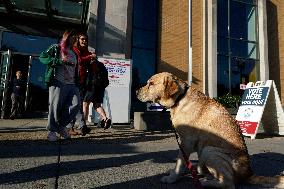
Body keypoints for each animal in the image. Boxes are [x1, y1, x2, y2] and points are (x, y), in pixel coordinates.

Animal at [136, 71, 282, 188]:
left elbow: (179, 162)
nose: (136, 92)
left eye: (151, 84)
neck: (180, 98)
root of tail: (248, 174)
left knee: (228, 183)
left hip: (209, 151)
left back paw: (205, 182)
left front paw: (172, 178)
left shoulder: (186, 142)